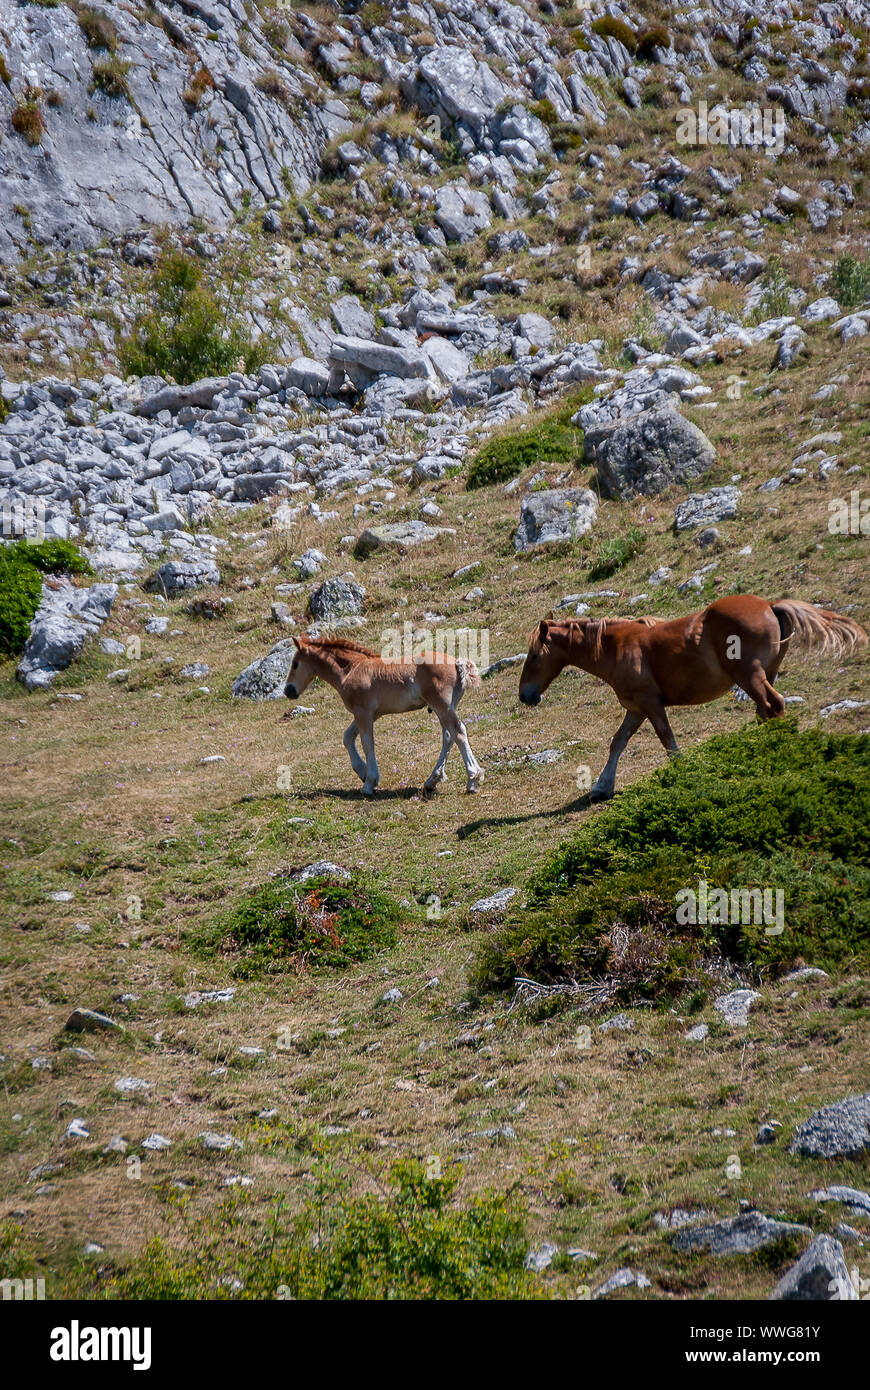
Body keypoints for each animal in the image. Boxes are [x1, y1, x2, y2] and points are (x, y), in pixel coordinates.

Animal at [516, 597, 861, 806]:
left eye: (534, 656)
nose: (526, 695)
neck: (617, 647)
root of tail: (770, 605)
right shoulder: (636, 709)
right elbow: (618, 742)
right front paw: (602, 786)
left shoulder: (650, 705)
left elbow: (667, 739)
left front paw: (682, 774)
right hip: (766, 675)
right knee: (766, 710)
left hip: (749, 676)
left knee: (773, 706)